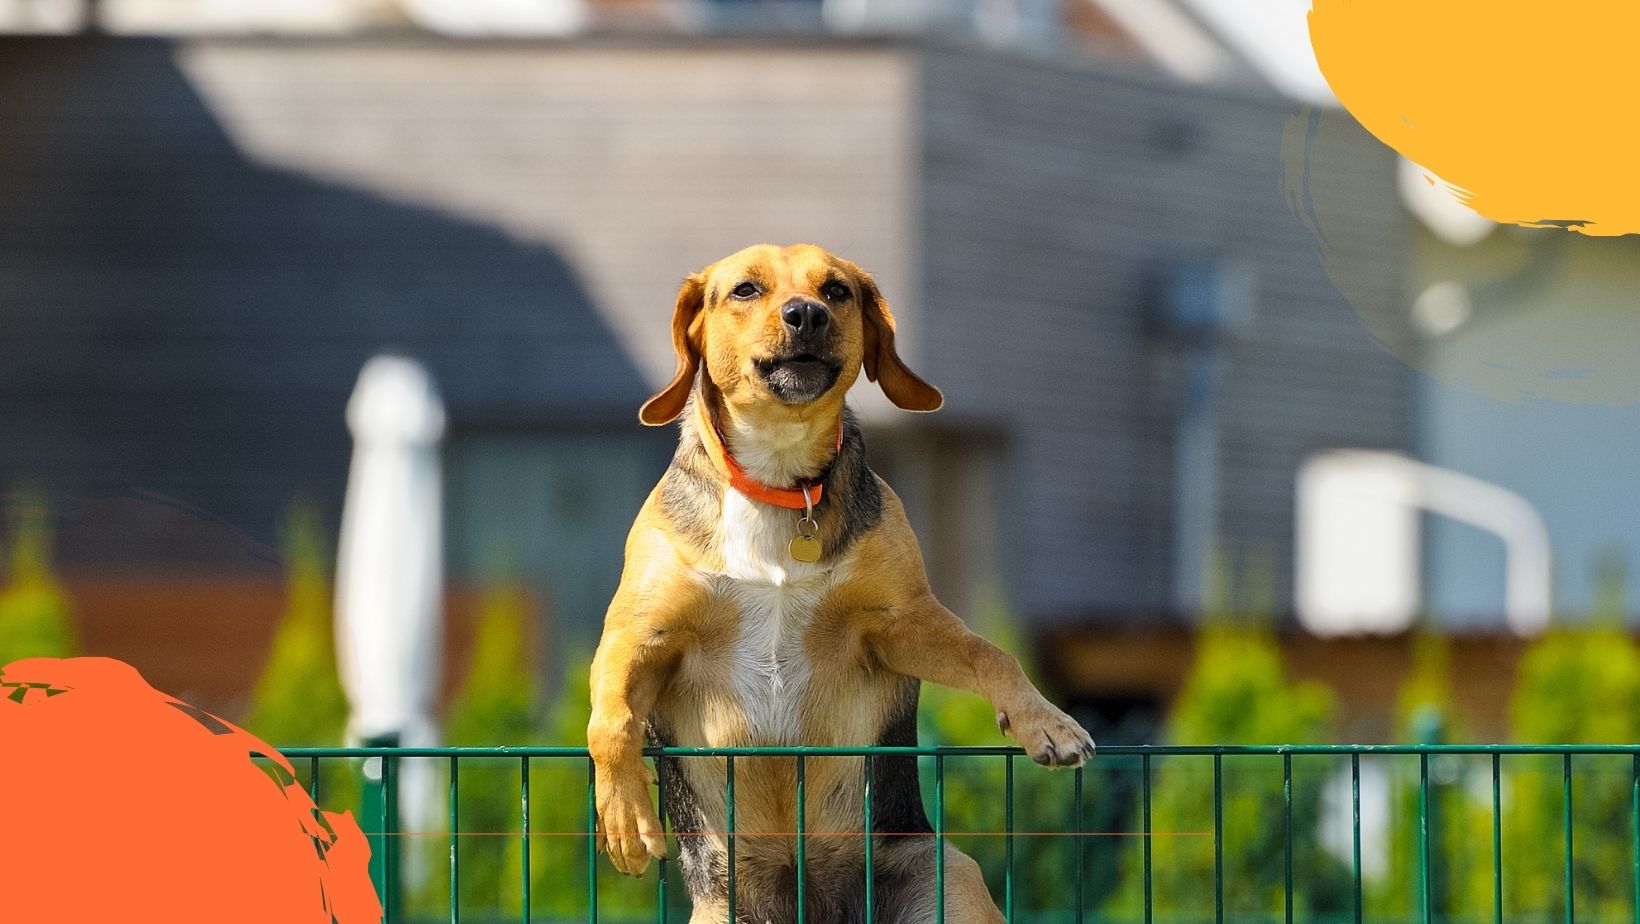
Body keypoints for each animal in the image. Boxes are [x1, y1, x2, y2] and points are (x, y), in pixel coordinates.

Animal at [583, 244, 1095, 924]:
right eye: (745, 289)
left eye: (837, 290)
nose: (807, 314)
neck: (778, 478)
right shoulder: (638, 637)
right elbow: (610, 722)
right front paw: (623, 816)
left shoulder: (903, 623)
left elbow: (992, 654)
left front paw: (1047, 722)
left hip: (948, 879)